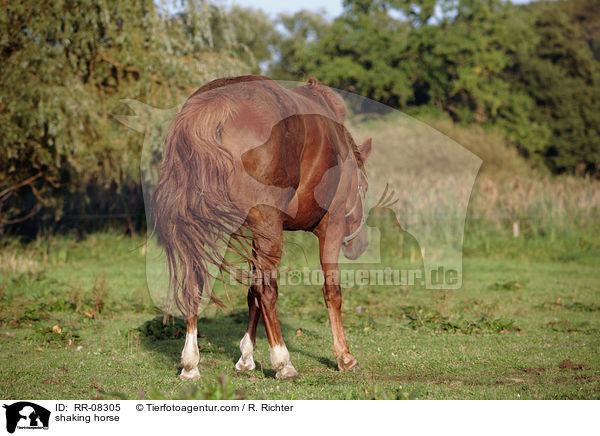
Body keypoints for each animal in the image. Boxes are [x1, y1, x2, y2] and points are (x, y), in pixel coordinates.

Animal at [152, 76, 372, 380]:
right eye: (364, 189)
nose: (360, 245)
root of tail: (216, 106)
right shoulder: (331, 225)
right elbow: (331, 291)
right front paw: (345, 357)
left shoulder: (256, 235)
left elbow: (251, 294)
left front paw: (246, 356)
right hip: (269, 227)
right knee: (268, 291)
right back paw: (283, 362)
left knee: (194, 284)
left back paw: (190, 363)